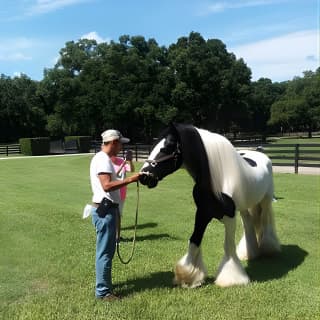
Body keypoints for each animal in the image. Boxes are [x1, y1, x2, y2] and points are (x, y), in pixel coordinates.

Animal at [139, 123, 280, 288]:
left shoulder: (229, 217)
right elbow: (194, 240)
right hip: (244, 207)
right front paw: (188, 276)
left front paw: (232, 278)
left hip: (266, 201)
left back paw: (268, 248)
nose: (144, 176)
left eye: (166, 148)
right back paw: (249, 253)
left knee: (265, 221)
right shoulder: (202, 214)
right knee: (248, 224)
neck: (216, 181)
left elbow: (228, 246)